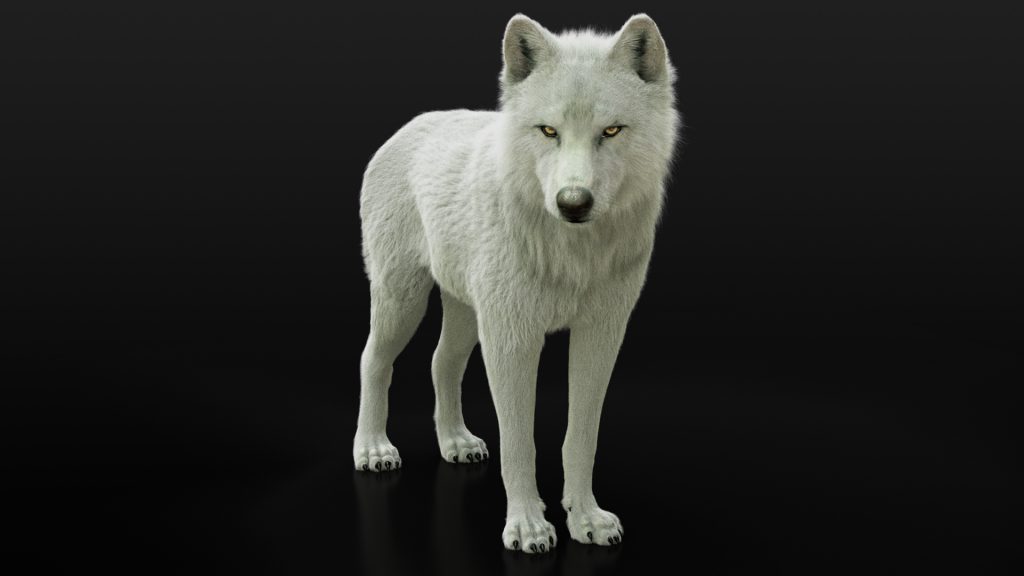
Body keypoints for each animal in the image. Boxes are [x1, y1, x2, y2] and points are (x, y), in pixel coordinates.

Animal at [353, 13, 680, 553]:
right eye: (548, 131)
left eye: (611, 131)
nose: (573, 202)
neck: (572, 253)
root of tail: (410, 124)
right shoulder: (513, 339)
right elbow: (519, 441)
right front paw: (527, 526)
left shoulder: (600, 334)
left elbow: (581, 437)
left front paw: (585, 518)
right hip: (403, 301)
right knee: (373, 360)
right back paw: (374, 449)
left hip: (466, 312)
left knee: (441, 361)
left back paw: (456, 442)